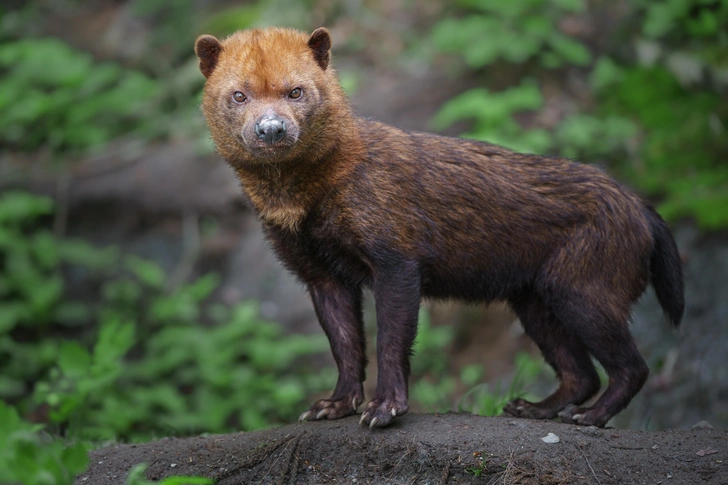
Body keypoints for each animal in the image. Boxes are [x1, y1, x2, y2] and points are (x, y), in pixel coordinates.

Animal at [192, 27, 684, 428]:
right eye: (238, 95)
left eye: (296, 91)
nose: (271, 128)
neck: (305, 208)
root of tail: (639, 205)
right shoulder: (319, 273)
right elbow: (345, 345)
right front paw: (333, 405)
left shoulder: (395, 258)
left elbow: (391, 339)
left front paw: (385, 409)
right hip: (534, 299)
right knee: (580, 374)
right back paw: (532, 407)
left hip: (583, 289)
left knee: (632, 367)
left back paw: (589, 417)